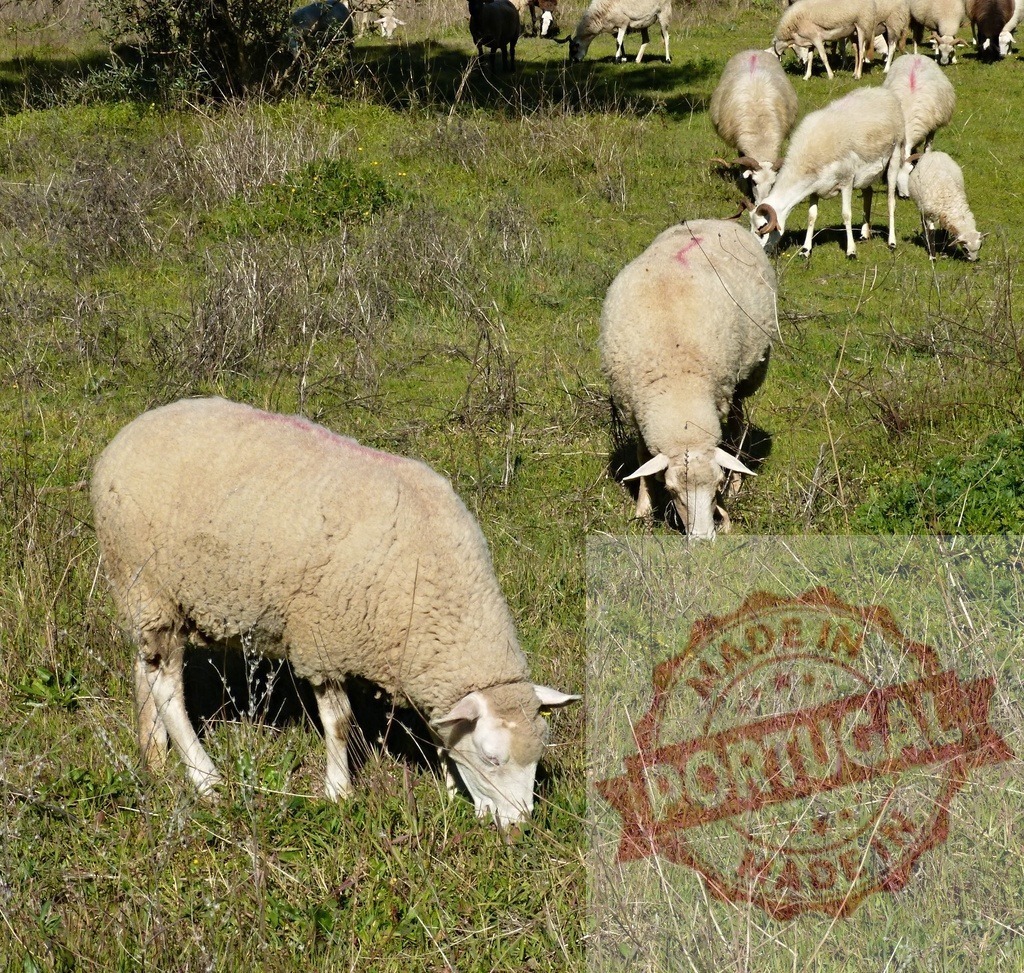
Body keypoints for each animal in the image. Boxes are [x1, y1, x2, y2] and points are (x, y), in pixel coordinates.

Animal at [91, 397, 578, 826]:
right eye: (492, 759)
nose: (518, 827)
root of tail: (131, 431)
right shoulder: (322, 641)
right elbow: (340, 724)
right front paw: (339, 792)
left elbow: (437, 731)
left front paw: (449, 785)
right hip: (147, 583)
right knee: (168, 689)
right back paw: (205, 778)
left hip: (143, 596)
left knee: (146, 671)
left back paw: (154, 755)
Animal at [600, 220, 778, 539]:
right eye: (671, 490)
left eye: (715, 486)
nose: (703, 539)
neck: (677, 383)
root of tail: (718, 221)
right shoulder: (637, 409)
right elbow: (643, 459)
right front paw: (644, 509)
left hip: (745, 376)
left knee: (737, 425)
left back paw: (737, 479)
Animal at [751, 86, 906, 259]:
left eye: (762, 229)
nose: (756, 252)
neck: (805, 160)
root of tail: (882, 92)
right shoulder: (814, 189)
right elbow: (811, 216)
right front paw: (805, 250)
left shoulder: (847, 180)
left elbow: (846, 215)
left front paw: (851, 251)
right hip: (866, 174)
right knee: (868, 193)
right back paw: (865, 234)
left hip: (895, 154)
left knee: (891, 201)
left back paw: (892, 242)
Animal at [881, 53, 956, 195]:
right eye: (896, 176)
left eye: (911, 171)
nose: (905, 195)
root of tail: (915, 55)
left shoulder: (932, 126)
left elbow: (928, 146)